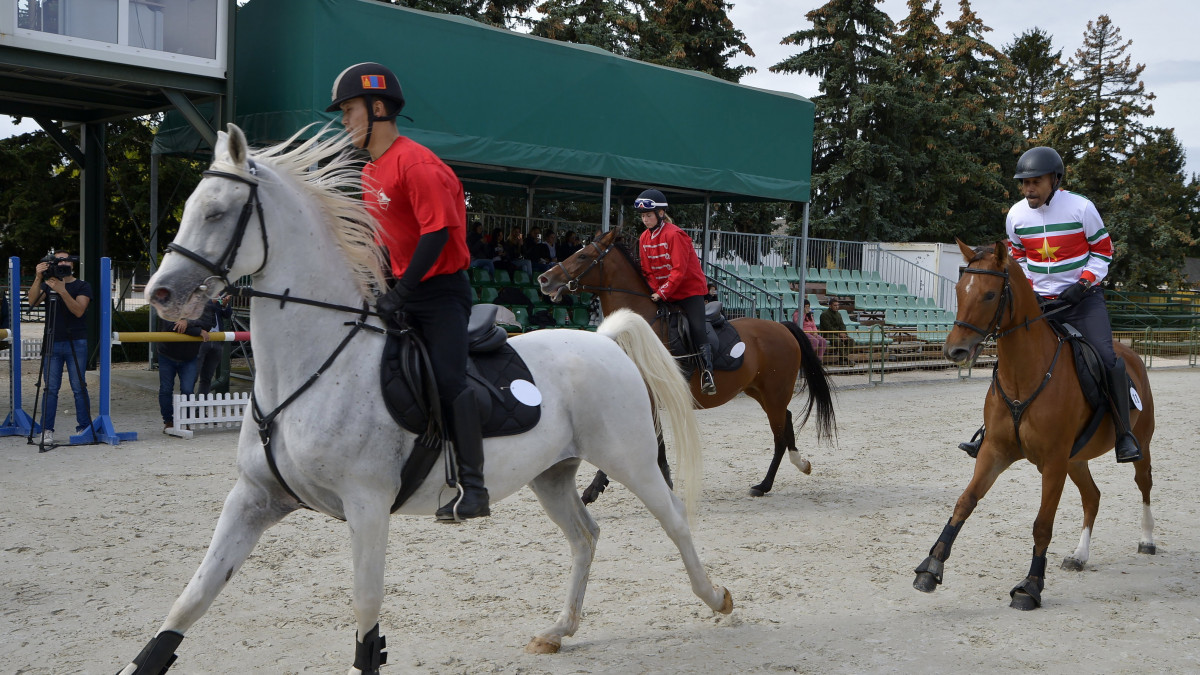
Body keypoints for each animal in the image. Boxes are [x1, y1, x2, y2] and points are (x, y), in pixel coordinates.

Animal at [119, 126, 729, 672]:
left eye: (217, 213)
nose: (161, 294)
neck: (311, 368)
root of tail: (602, 340)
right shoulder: (252, 499)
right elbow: (190, 600)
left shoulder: (366, 506)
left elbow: (366, 610)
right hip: (552, 473)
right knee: (585, 536)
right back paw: (559, 630)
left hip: (630, 460)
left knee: (674, 518)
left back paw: (716, 597)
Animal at [542, 228, 835, 497]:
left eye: (583, 256)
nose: (544, 279)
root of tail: (783, 327)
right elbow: (649, 440)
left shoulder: (649, 393)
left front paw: (598, 487)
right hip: (760, 391)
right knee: (786, 422)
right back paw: (798, 466)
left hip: (774, 393)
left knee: (779, 435)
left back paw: (764, 484)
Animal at [916, 237, 1152, 610]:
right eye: (958, 290)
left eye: (989, 295)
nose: (954, 351)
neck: (1023, 376)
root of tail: (1129, 356)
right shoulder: (995, 452)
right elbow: (965, 502)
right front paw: (931, 566)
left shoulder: (1053, 463)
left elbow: (1042, 525)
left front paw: (1030, 586)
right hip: (1076, 460)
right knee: (1093, 497)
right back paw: (1080, 555)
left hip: (1140, 443)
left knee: (1144, 485)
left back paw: (1147, 540)